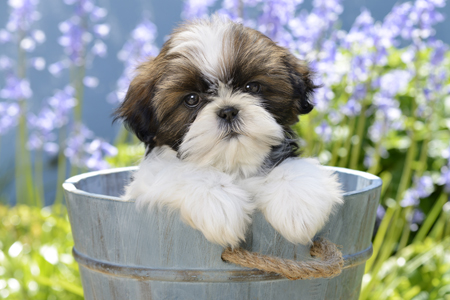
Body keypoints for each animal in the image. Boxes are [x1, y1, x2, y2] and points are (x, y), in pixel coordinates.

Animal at [114, 15, 342, 247]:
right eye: (191, 99)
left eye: (252, 87)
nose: (228, 111)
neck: (233, 164)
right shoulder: (150, 180)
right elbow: (182, 171)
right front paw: (218, 202)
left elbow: (293, 168)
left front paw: (296, 206)